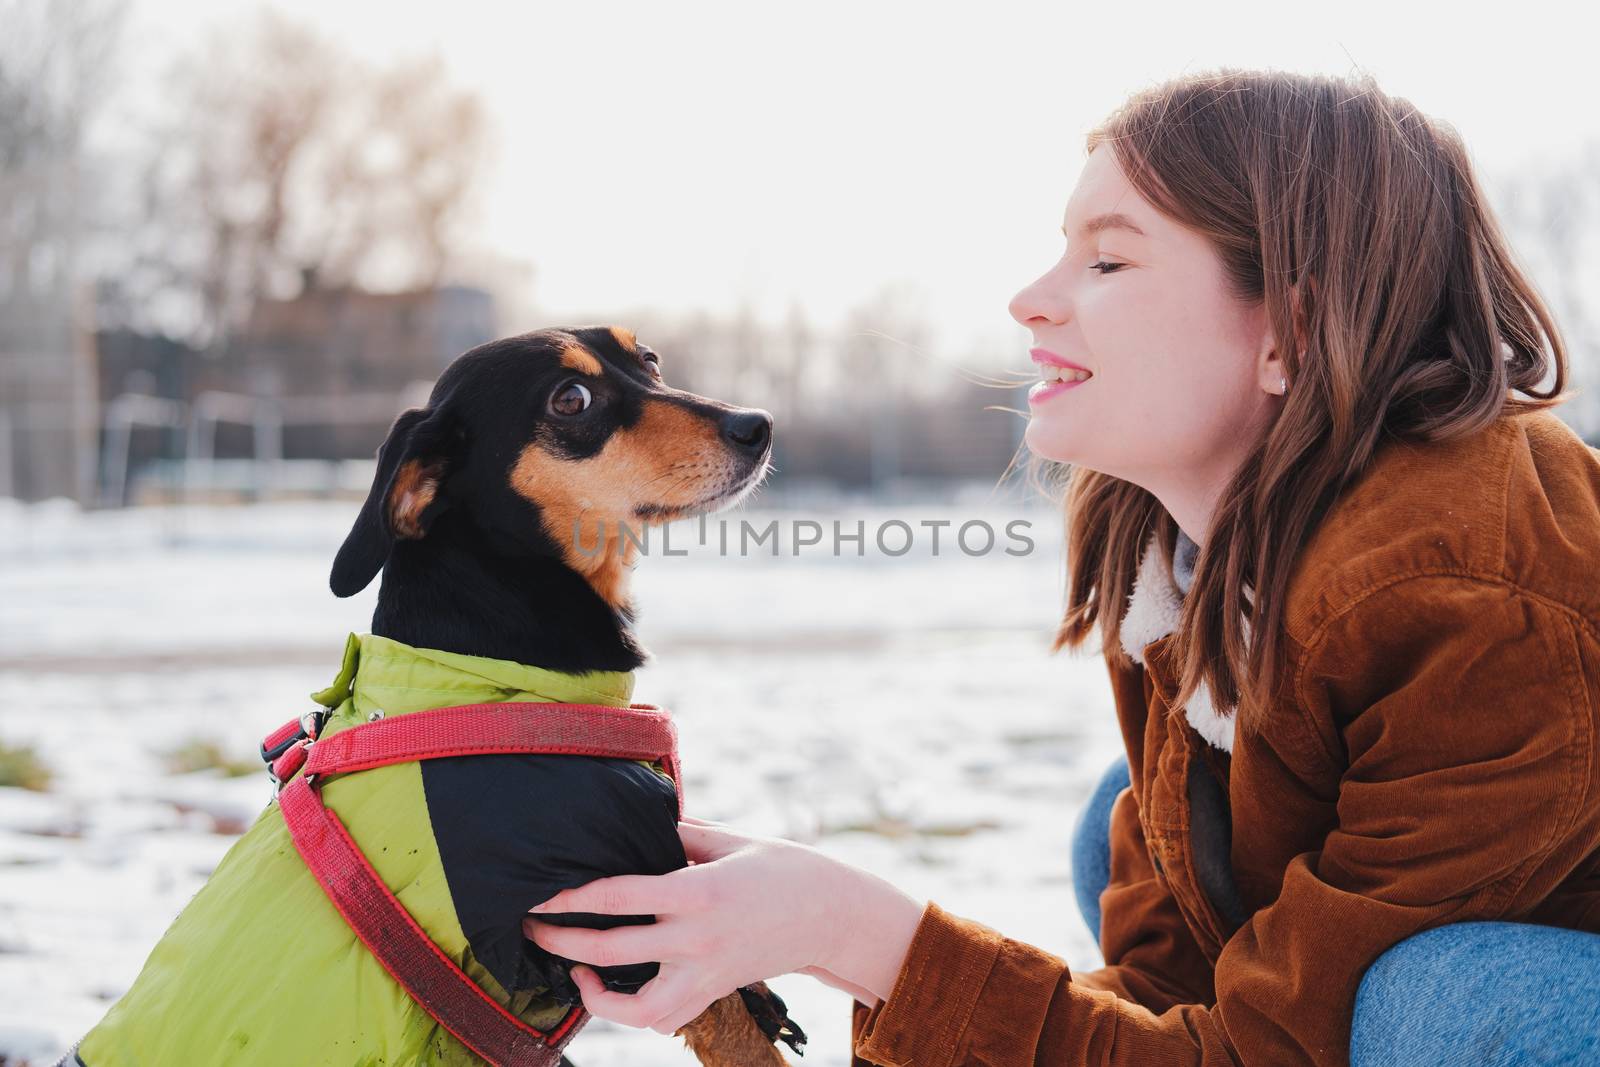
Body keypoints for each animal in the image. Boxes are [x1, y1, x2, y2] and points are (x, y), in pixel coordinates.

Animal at [64, 323, 806, 1067]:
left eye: (648, 359)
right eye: (571, 399)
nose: (757, 426)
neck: (494, 674)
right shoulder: (630, 932)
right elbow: (740, 1034)